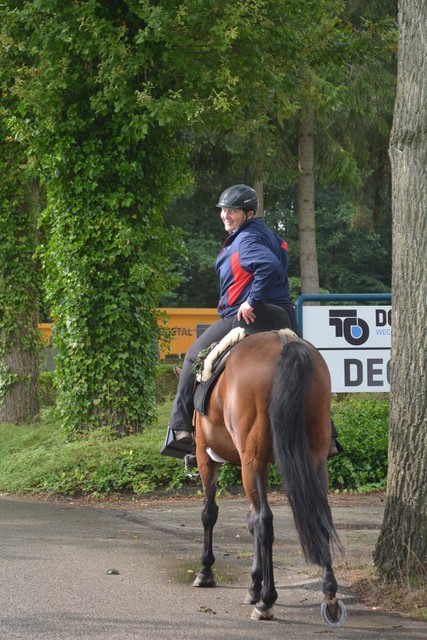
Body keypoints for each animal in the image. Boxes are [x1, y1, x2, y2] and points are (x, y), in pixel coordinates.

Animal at [191, 328, 348, 628]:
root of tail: (285, 342)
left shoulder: (207, 456)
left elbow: (210, 513)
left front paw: (206, 571)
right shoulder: (260, 464)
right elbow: (249, 521)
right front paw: (253, 585)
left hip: (248, 461)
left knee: (265, 520)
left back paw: (267, 601)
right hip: (314, 456)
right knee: (319, 514)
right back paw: (329, 593)